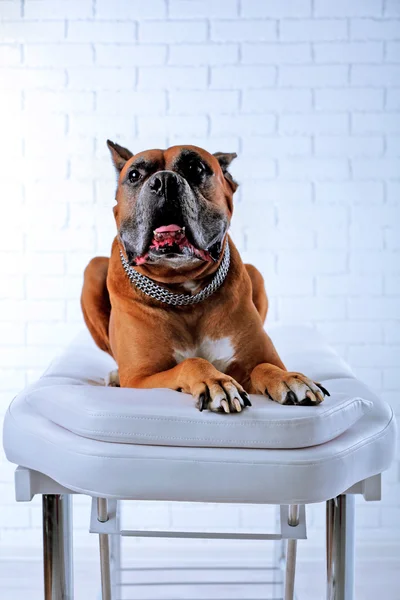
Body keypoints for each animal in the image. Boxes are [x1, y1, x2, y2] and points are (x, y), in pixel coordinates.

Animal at [80, 142, 328, 412]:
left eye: (194, 167)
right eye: (134, 175)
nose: (164, 181)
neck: (184, 292)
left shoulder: (254, 361)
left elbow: (264, 366)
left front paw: (288, 378)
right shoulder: (140, 378)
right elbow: (192, 362)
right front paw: (215, 382)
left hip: (257, 274)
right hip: (93, 269)